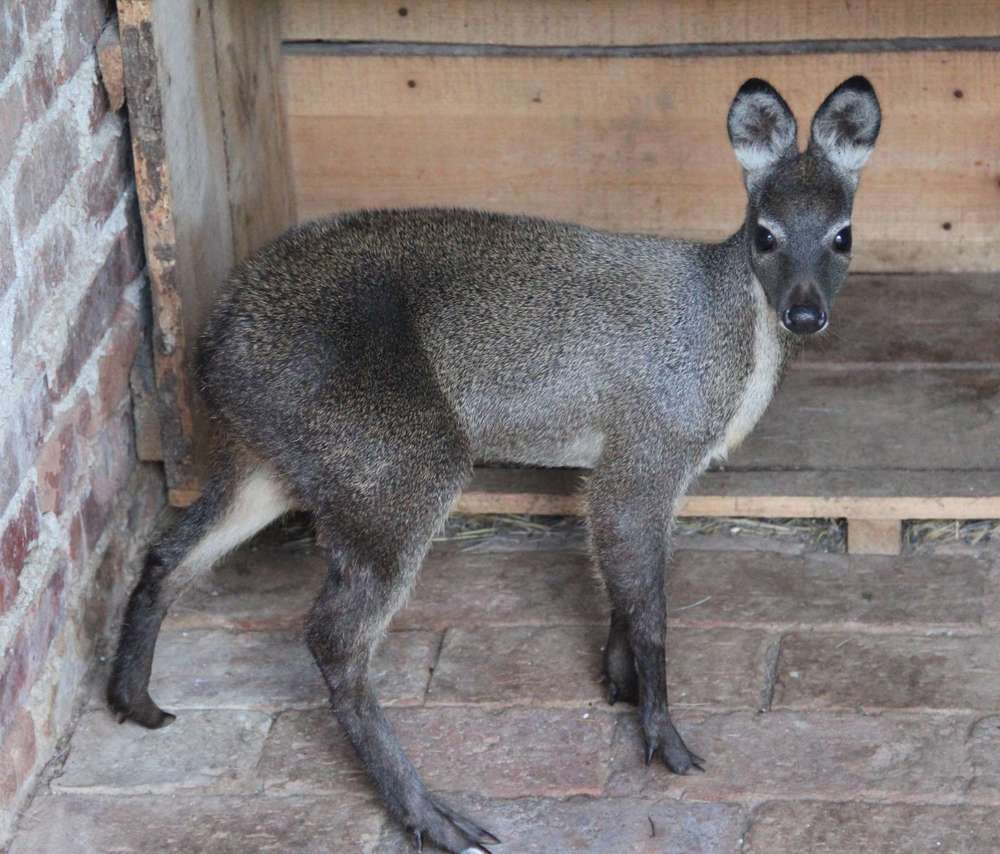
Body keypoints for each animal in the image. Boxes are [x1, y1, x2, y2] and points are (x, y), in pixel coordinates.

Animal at [109, 77, 884, 852]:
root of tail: (212, 346)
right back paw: (435, 816)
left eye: (843, 234)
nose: (805, 313)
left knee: (171, 552)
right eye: (765, 234)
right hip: (393, 455)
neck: (731, 337)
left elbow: (619, 581)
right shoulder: (648, 448)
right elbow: (650, 605)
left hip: (274, 459)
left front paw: (615, 681)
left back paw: (135, 699)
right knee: (334, 637)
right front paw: (665, 737)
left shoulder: (618, 465)